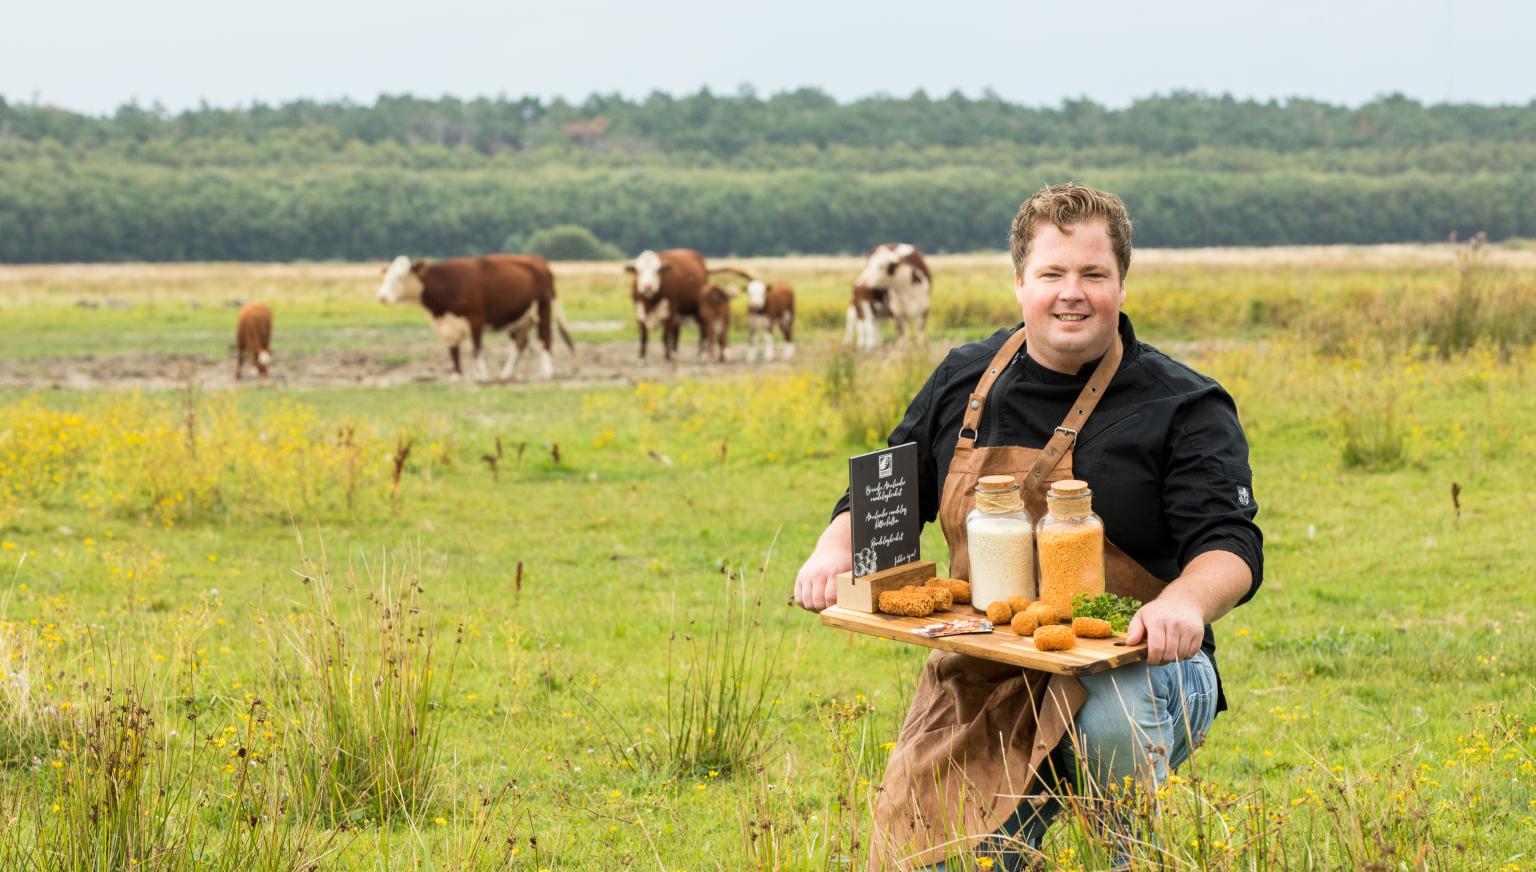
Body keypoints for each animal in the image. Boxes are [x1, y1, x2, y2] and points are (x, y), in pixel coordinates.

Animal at [377, 250, 577, 376]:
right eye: (385, 277)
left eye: (401, 277)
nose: (382, 297)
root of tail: (539, 260)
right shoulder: (447, 326)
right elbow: (453, 351)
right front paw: (457, 376)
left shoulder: (476, 319)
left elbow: (476, 348)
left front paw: (482, 376)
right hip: (521, 318)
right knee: (520, 343)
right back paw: (507, 374)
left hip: (543, 309)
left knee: (545, 339)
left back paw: (547, 372)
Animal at [617, 248, 749, 360]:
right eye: (638, 271)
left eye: (657, 271)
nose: (647, 286)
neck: (650, 301)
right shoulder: (640, 312)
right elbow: (644, 336)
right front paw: (642, 356)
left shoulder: (670, 311)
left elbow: (665, 336)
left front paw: (667, 356)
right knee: (678, 332)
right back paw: (677, 352)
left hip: (698, 312)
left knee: (703, 331)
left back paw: (701, 354)